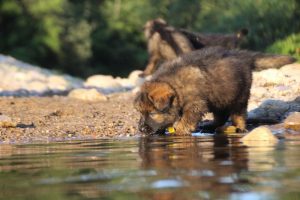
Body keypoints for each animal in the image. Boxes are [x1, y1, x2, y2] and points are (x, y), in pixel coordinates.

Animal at [135, 46, 296, 135]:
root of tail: (241, 55)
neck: (175, 85)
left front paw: (180, 129)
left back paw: (239, 127)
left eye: (153, 113)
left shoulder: (195, 104)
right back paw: (210, 125)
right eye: (140, 113)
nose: (141, 129)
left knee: (238, 114)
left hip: (239, 96)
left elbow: (187, 118)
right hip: (219, 98)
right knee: (221, 116)